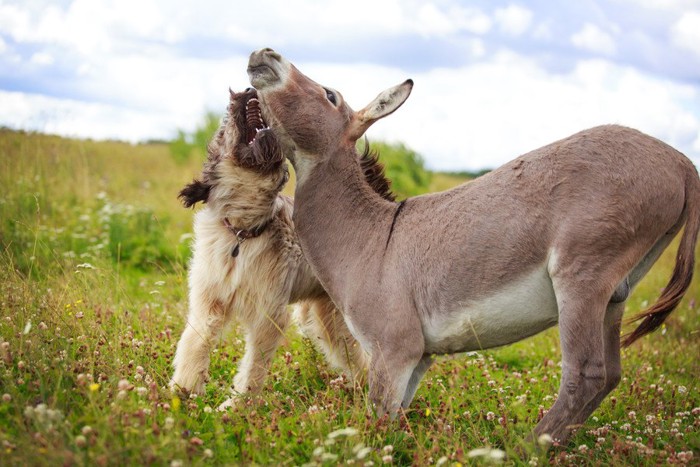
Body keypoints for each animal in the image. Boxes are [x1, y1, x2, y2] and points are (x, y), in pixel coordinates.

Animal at [169, 88, 372, 410]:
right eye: (225, 126)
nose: (248, 90)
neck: (243, 232)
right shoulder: (210, 299)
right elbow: (195, 341)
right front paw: (184, 390)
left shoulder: (269, 314)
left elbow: (253, 367)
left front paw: (236, 406)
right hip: (324, 318)